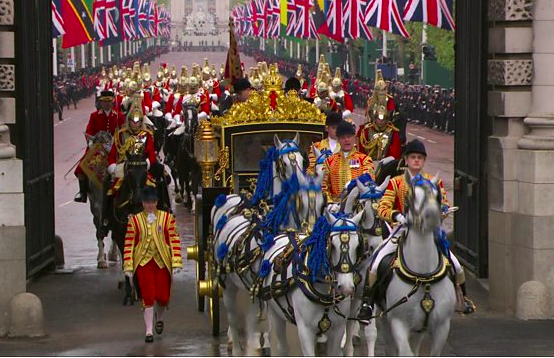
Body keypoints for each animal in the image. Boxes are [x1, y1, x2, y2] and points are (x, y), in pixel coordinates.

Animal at [262, 210, 362, 356]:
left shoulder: (337, 330)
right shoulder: (305, 331)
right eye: (332, 246)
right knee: (282, 346)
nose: (346, 288)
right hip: (275, 314)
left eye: (357, 246)